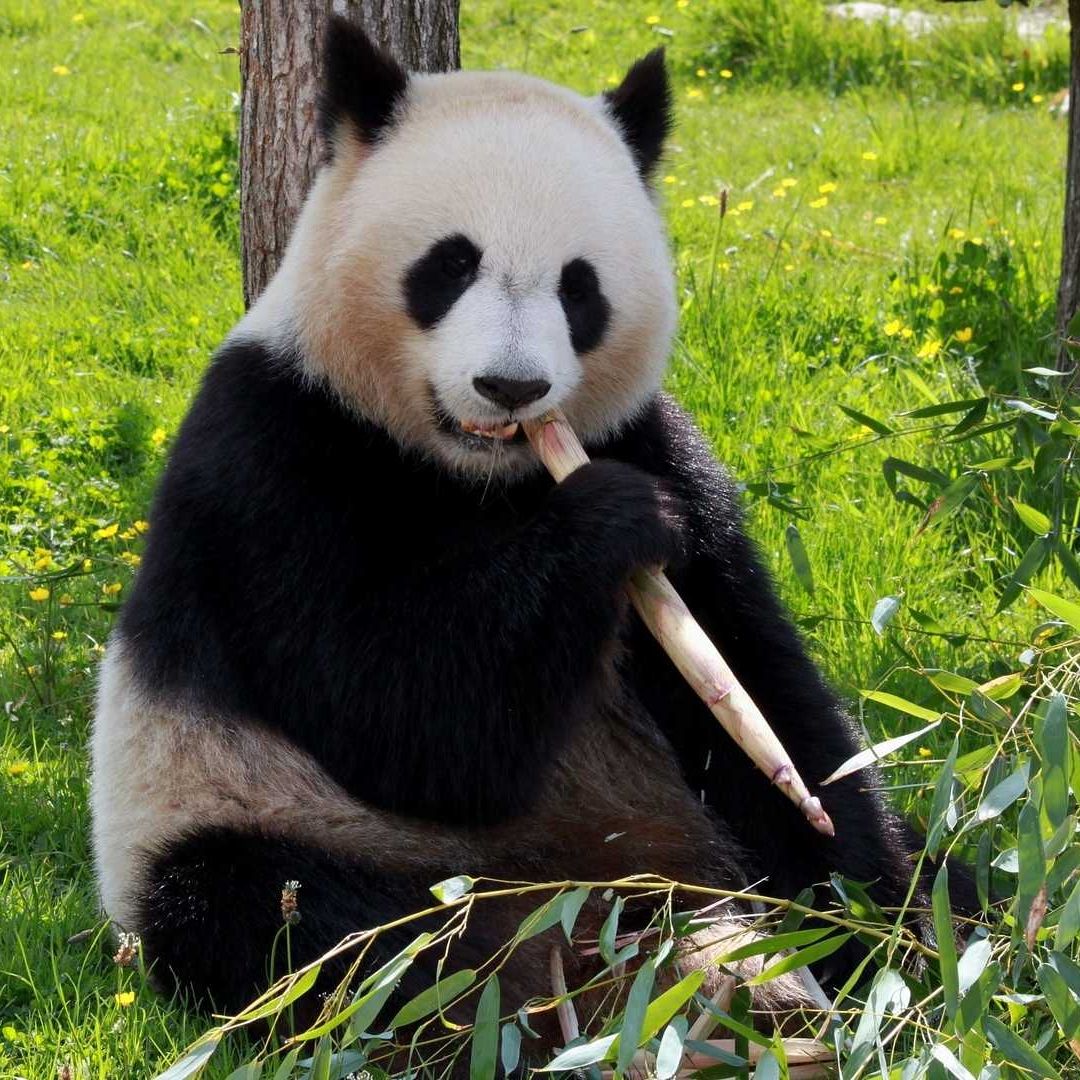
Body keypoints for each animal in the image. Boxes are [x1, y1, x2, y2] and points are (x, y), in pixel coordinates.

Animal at [91, 16, 958, 1050]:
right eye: (449, 264)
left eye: (579, 288)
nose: (511, 387)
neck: (479, 475)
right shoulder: (272, 454)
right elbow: (401, 716)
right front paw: (607, 522)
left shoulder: (653, 441)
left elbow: (758, 693)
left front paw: (870, 922)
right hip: (244, 813)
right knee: (298, 926)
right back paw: (527, 997)